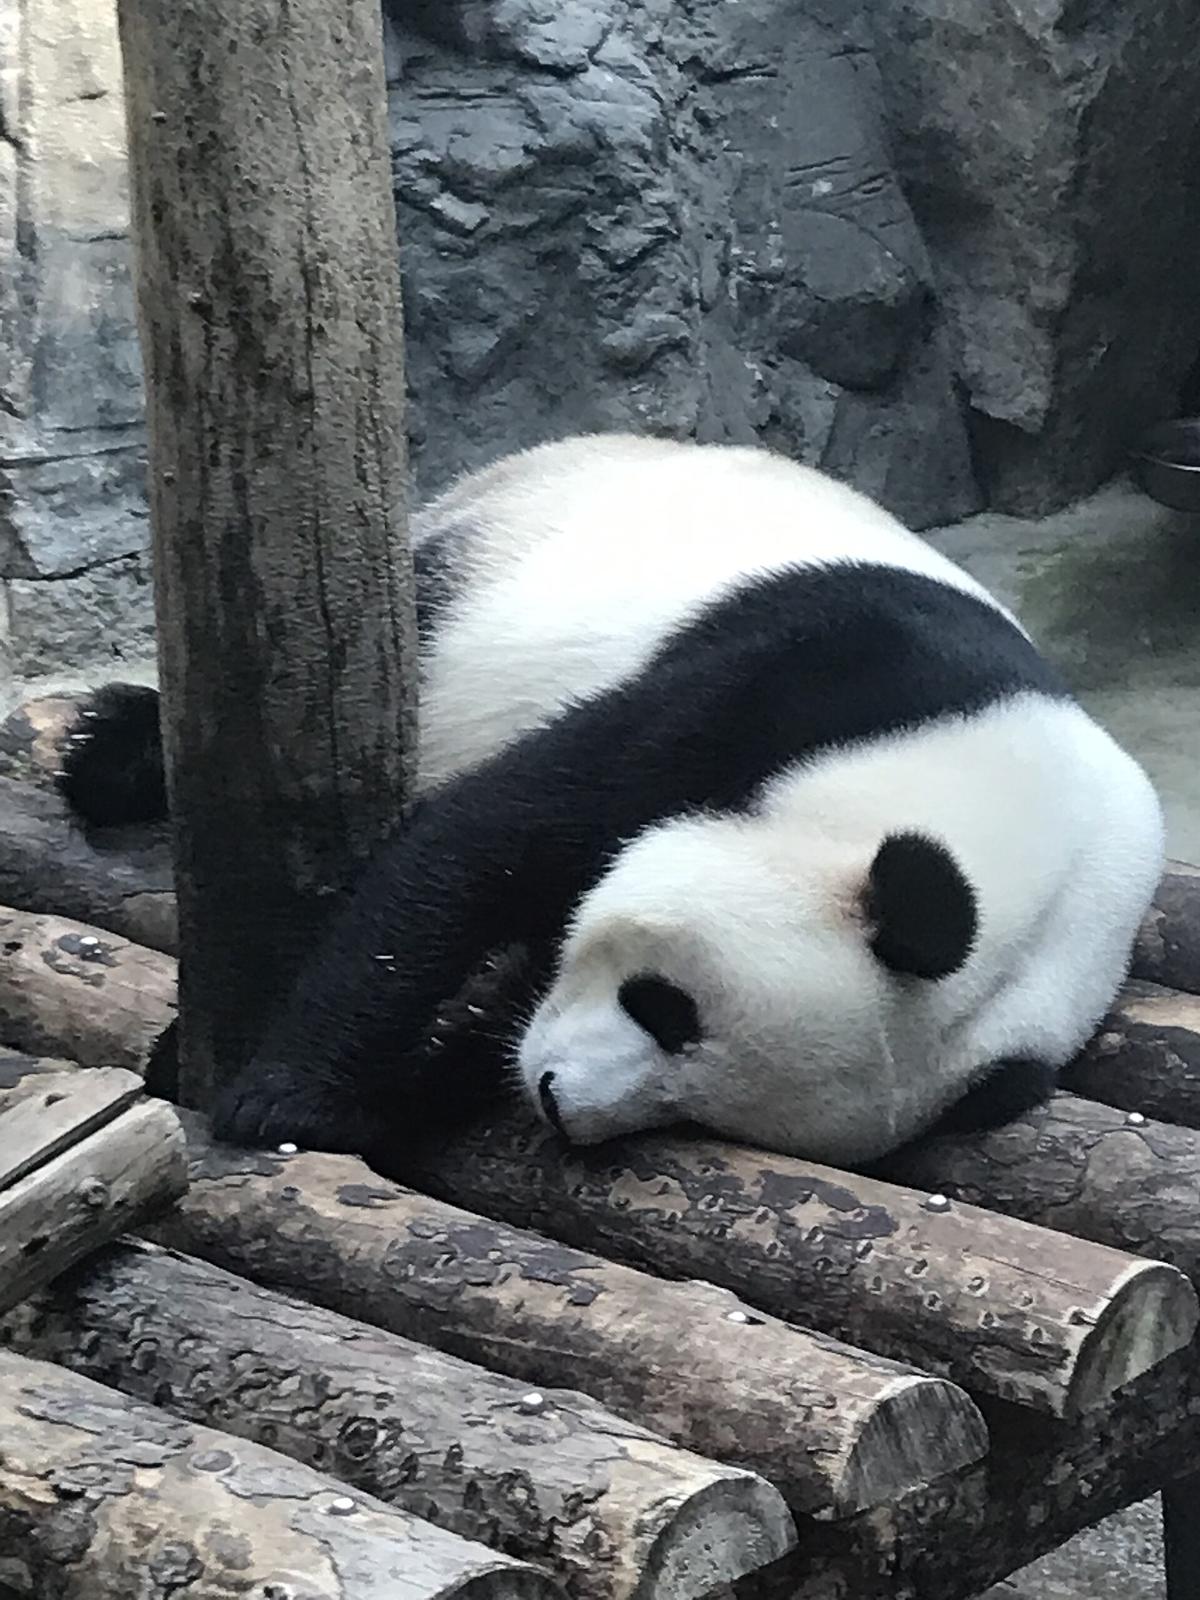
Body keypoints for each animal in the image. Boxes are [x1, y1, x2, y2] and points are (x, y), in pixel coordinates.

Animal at [56, 433, 1165, 1166]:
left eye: (704, 1116)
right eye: (667, 1007)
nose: (556, 1100)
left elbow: (510, 967)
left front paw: (412, 1086)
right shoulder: (800, 684)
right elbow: (483, 843)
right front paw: (282, 1097)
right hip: (477, 562)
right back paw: (103, 755)